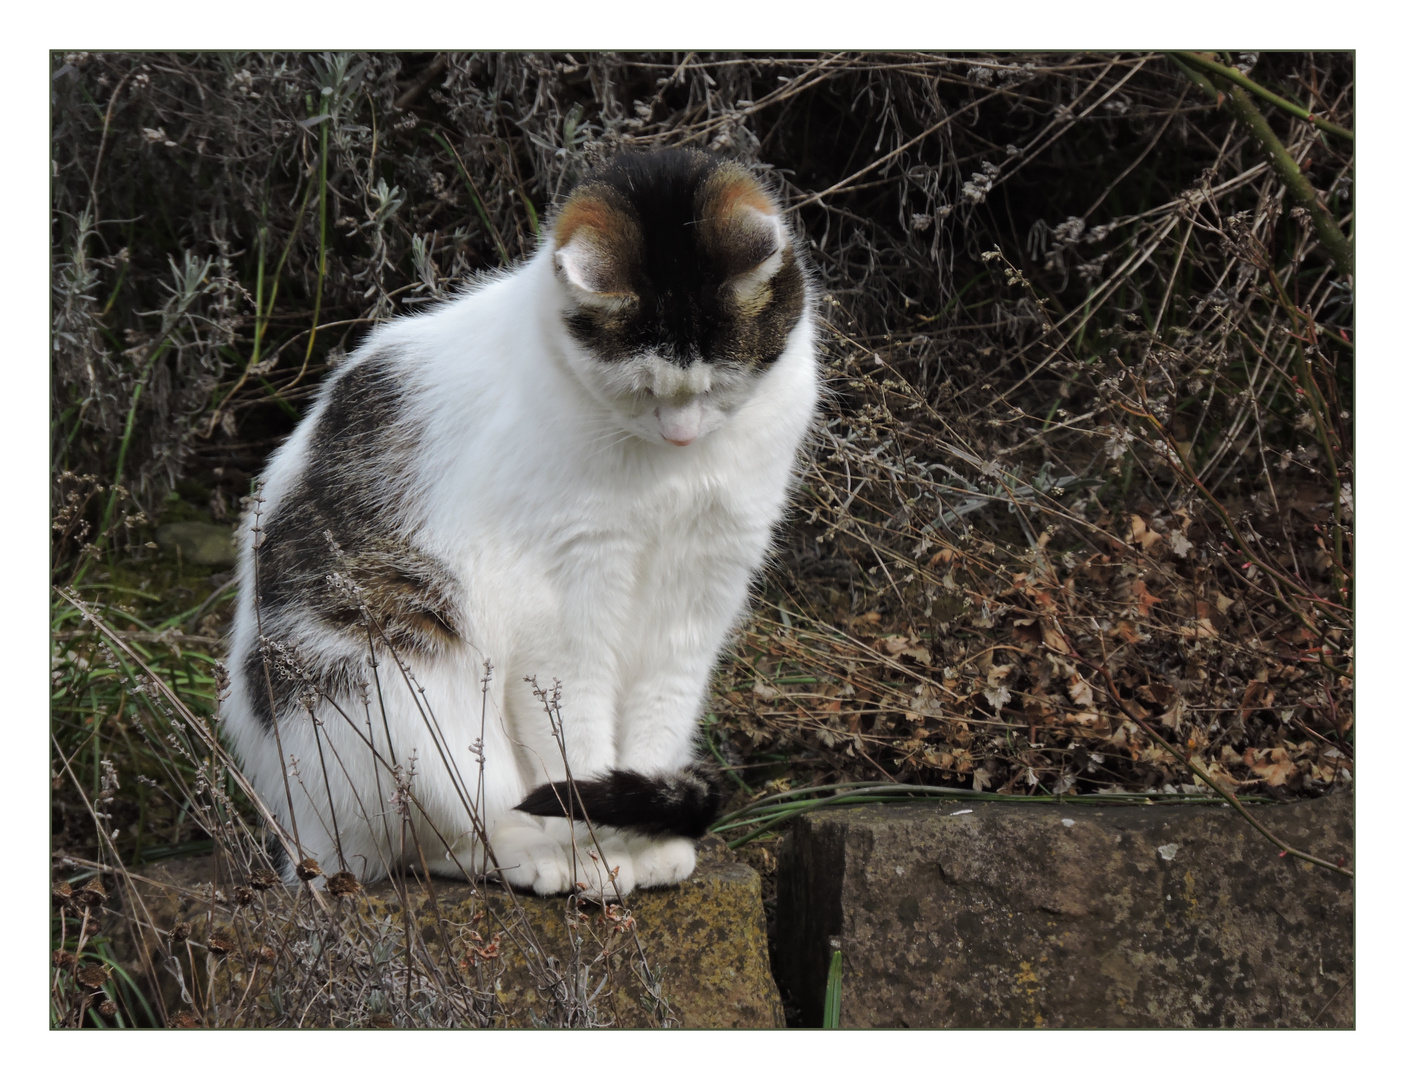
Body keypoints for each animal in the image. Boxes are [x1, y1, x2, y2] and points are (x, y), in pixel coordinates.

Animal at [221, 149, 820, 893]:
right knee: (438, 837)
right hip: (390, 668)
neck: (669, 478)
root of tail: (302, 831)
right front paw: (603, 853)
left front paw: (646, 842)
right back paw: (537, 858)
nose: (681, 433)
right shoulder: (564, 594)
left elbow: (661, 709)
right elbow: (576, 736)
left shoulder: (704, 584)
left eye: (719, 382)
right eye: (641, 389)